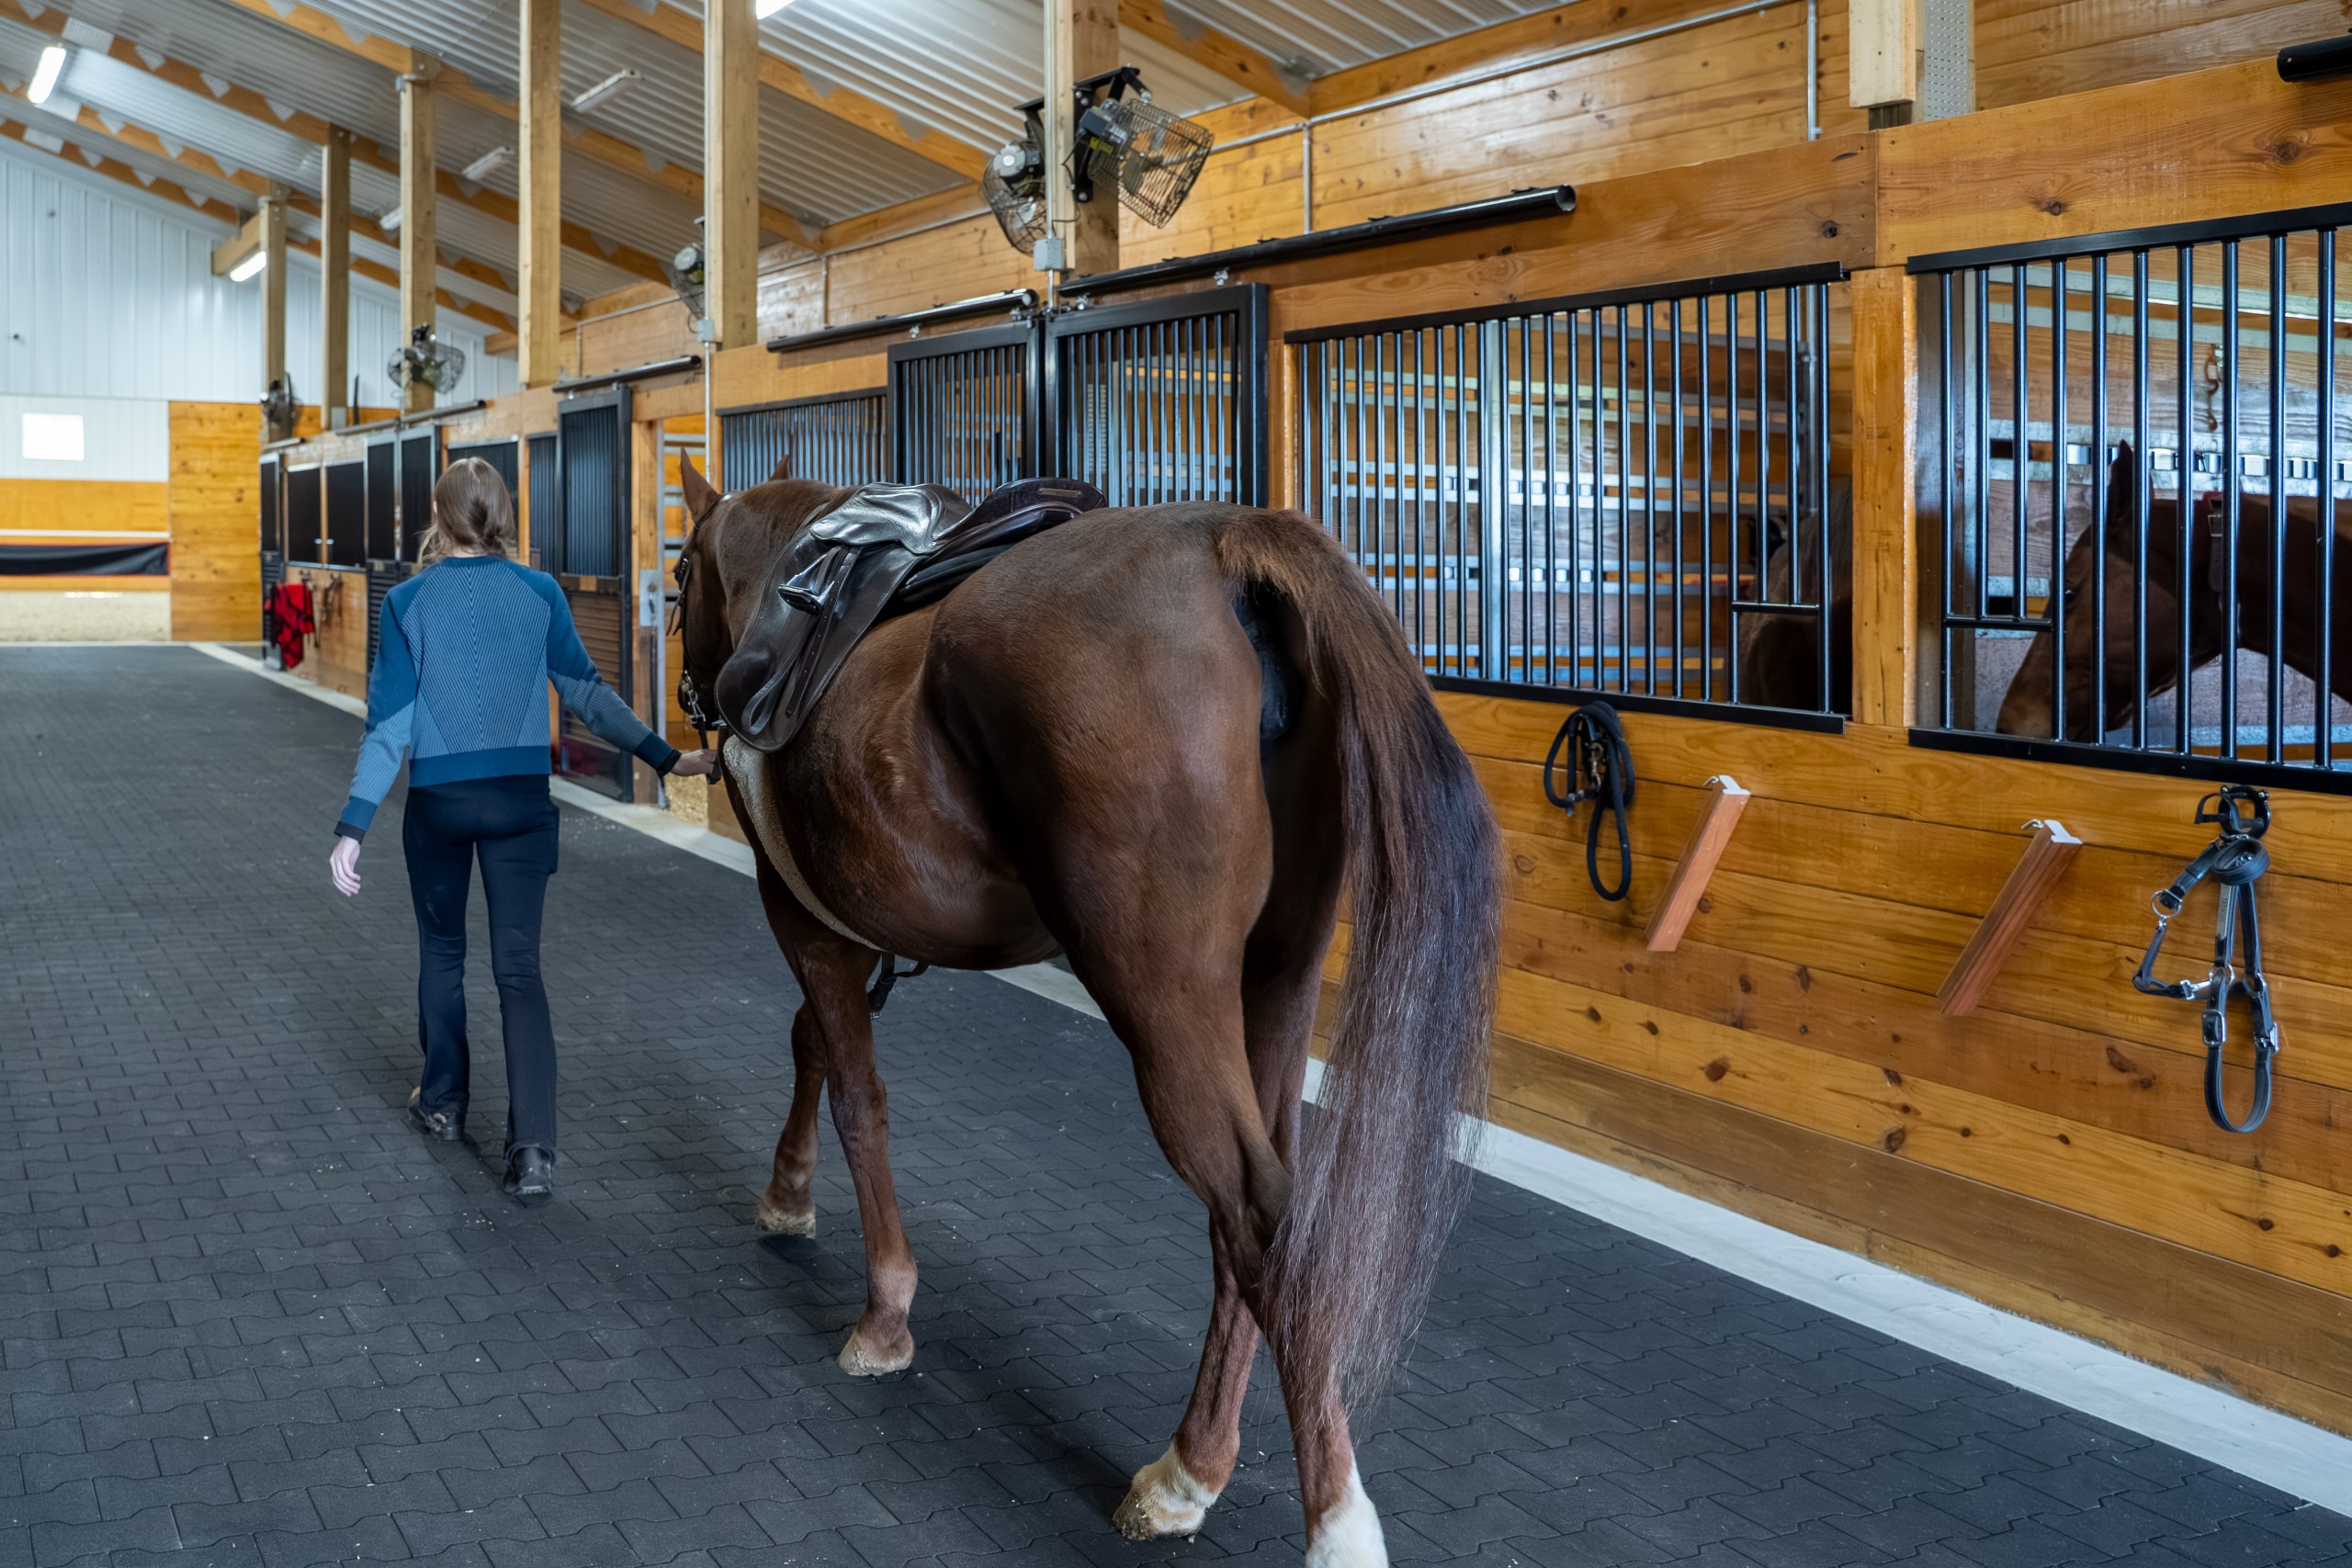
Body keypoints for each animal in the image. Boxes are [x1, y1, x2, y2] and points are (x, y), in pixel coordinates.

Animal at [669, 456, 1500, 1565]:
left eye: (678, 577)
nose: (690, 706)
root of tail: (1228, 545)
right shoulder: (840, 929)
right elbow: (814, 1049)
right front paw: (788, 1193)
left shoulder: (800, 913)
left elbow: (855, 1096)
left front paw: (884, 1315)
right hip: (1272, 986)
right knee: (1254, 1227)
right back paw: (1191, 1469)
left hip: (1163, 999)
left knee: (1256, 1211)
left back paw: (1333, 1521)